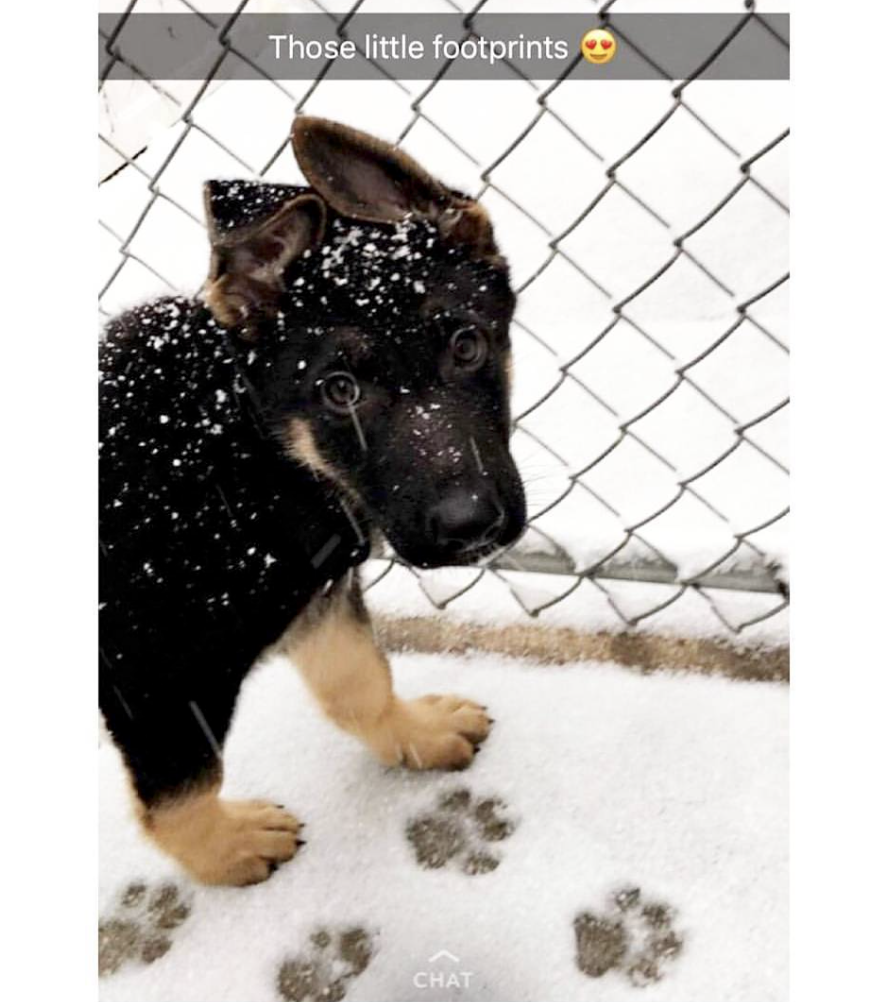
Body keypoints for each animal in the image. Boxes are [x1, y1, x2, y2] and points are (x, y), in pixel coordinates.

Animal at [100, 116, 526, 886]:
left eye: (467, 345)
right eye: (339, 391)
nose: (471, 527)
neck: (246, 449)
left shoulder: (315, 595)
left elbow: (360, 678)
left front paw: (414, 734)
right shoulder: (151, 675)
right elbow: (182, 792)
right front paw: (225, 852)